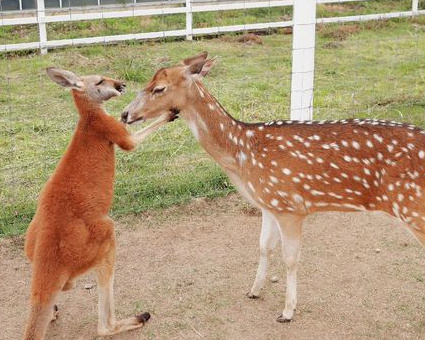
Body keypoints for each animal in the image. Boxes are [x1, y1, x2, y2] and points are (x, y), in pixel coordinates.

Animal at [22, 67, 172, 338]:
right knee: (103, 325)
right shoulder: (110, 128)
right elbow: (130, 142)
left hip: (31, 241)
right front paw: (168, 113)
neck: (89, 117)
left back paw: (53, 311)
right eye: (101, 81)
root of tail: (46, 260)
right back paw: (136, 318)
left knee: (63, 288)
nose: (122, 84)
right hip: (103, 236)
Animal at [120, 51, 425, 322]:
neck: (243, 155)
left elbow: (291, 258)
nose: (124, 114)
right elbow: (264, 247)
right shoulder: (268, 204)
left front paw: (287, 312)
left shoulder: (290, 206)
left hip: (413, 208)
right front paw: (254, 290)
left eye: (158, 88)